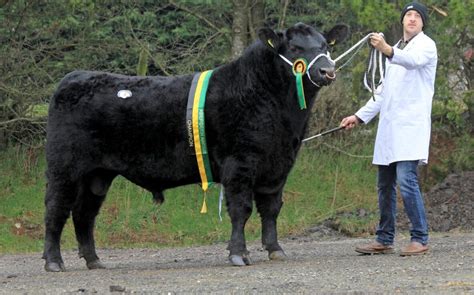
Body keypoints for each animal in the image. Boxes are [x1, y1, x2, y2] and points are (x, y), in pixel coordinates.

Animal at [43, 23, 348, 272]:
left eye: (325, 46)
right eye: (296, 48)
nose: (327, 70)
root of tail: (73, 78)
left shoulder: (278, 165)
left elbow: (271, 208)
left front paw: (275, 249)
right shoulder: (240, 163)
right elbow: (241, 209)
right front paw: (239, 254)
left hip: (97, 175)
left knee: (84, 214)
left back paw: (93, 260)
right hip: (64, 167)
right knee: (56, 209)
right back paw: (54, 262)